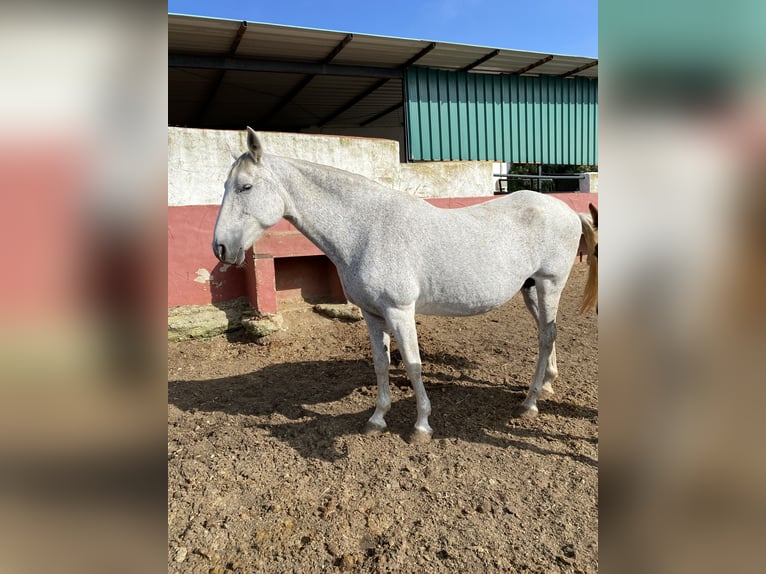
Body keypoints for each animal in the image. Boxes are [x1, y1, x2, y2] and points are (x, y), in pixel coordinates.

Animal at [212, 129, 600, 446]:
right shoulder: (372, 314)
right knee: (546, 333)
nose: (221, 248)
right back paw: (546, 385)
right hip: (530, 289)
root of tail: (568, 210)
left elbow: (412, 364)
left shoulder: (399, 312)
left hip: (550, 285)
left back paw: (530, 403)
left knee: (546, 336)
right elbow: (381, 364)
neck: (366, 229)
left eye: (246, 186)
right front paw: (376, 420)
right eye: (225, 187)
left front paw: (421, 427)